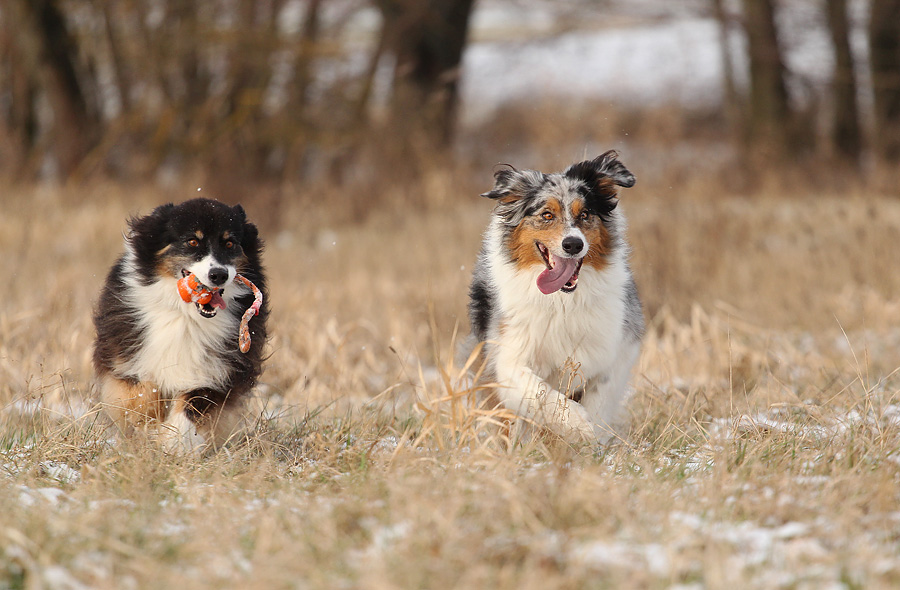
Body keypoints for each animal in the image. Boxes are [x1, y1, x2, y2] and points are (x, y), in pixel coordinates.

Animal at [97, 199, 270, 454]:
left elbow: (194, 403)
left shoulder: (221, 370)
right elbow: (141, 393)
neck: (185, 313)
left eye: (230, 243)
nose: (219, 274)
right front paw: (149, 422)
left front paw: (175, 441)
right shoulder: (126, 356)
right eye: (192, 241)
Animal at [468, 153, 644, 444]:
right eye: (547, 215)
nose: (573, 244)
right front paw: (575, 424)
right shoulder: (507, 356)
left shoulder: (617, 348)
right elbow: (537, 391)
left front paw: (591, 435)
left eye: (585, 214)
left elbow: (599, 399)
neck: (562, 302)